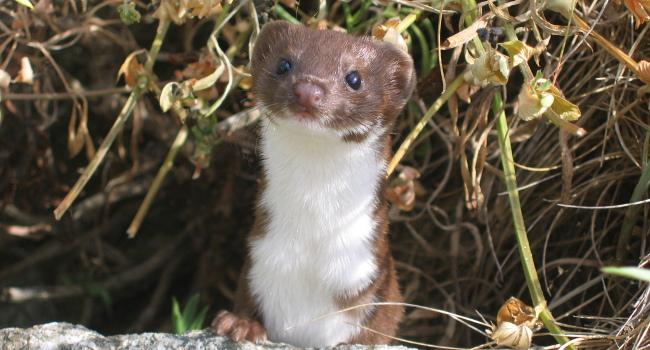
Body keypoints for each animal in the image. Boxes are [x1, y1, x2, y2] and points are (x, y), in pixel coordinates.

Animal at [213, 21, 416, 348]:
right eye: (284, 64)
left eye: (354, 77)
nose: (308, 90)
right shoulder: (256, 263)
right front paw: (240, 324)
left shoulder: (378, 290)